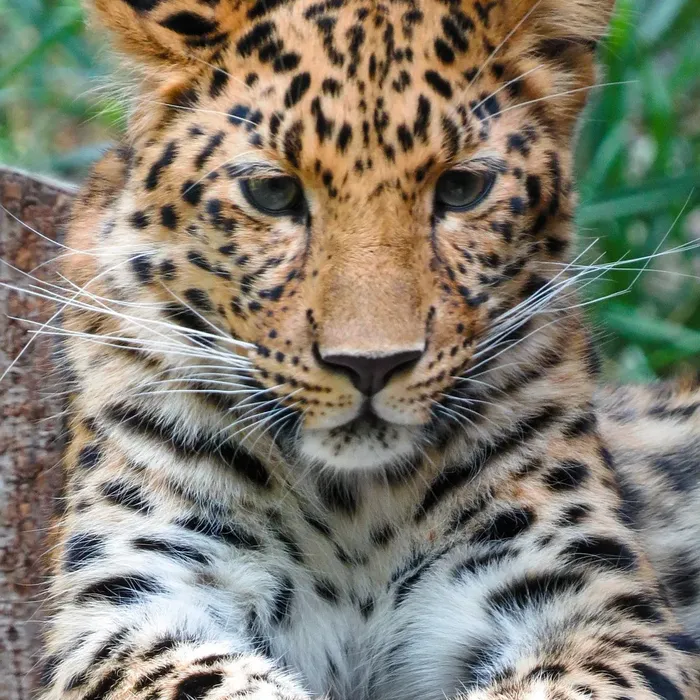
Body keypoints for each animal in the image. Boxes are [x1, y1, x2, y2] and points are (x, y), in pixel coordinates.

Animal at [34, 1, 700, 700]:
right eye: (273, 194)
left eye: (462, 189)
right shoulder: (128, 601)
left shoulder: (597, 609)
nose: (371, 365)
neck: (354, 509)